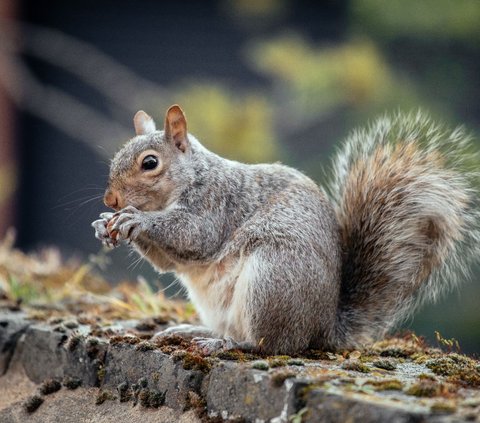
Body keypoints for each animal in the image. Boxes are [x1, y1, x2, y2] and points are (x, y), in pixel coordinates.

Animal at [92, 105, 478, 354]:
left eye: (150, 163)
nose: (111, 199)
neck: (193, 177)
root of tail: (323, 329)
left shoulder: (216, 206)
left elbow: (193, 236)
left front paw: (135, 220)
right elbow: (167, 262)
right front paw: (103, 225)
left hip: (273, 279)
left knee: (273, 345)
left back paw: (226, 345)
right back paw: (194, 330)